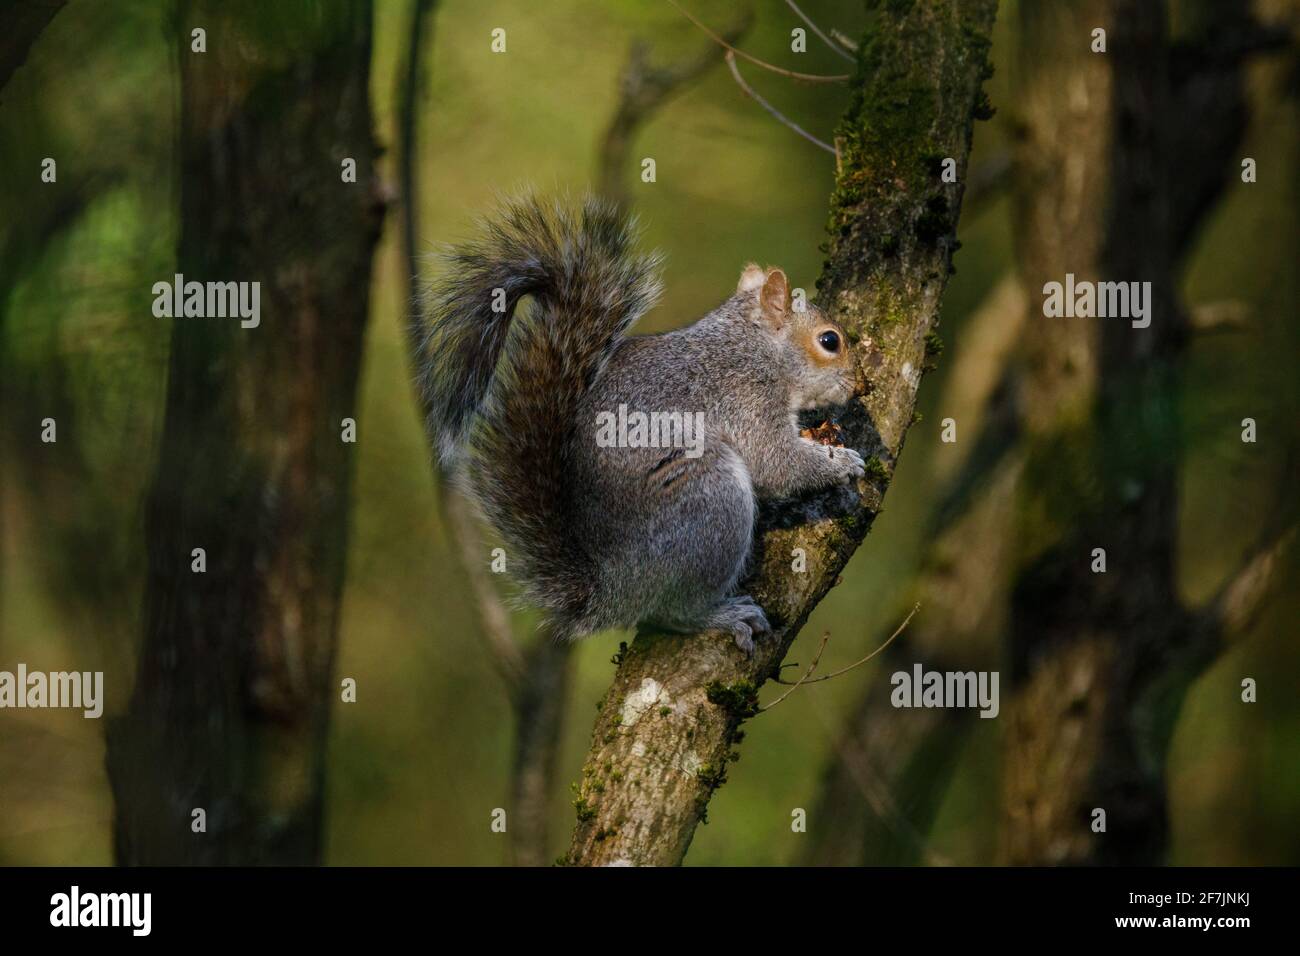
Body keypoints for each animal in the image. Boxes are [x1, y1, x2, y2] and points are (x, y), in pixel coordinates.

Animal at [416, 197, 863, 655]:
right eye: (830, 341)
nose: (860, 385)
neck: (753, 346)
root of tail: (612, 591)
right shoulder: (745, 396)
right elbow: (777, 462)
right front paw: (841, 462)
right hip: (709, 501)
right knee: (674, 611)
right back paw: (721, 615)